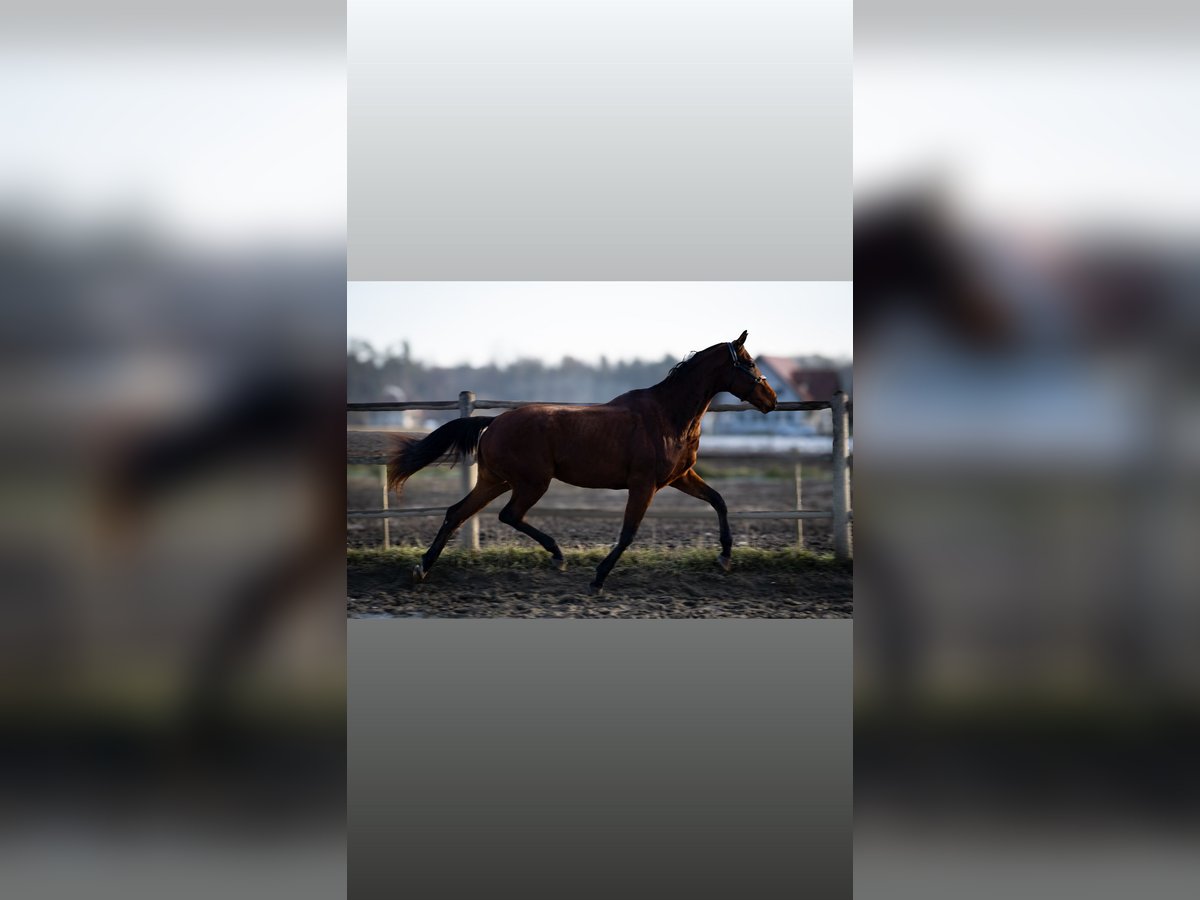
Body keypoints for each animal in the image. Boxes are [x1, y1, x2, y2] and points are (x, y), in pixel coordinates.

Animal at [384, 331, 777, 592]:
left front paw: (725, 557)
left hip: (496, 480)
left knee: (457, 513)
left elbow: (719, 501)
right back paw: (557, 555)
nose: (771, 398)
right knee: (508, 515)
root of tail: (493, 422)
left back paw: (422, 568)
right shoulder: (644, 484)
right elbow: (628, 532)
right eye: (750, 363)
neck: (668, 416)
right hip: (531, 482)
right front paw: (598, 578)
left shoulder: (680, 477)